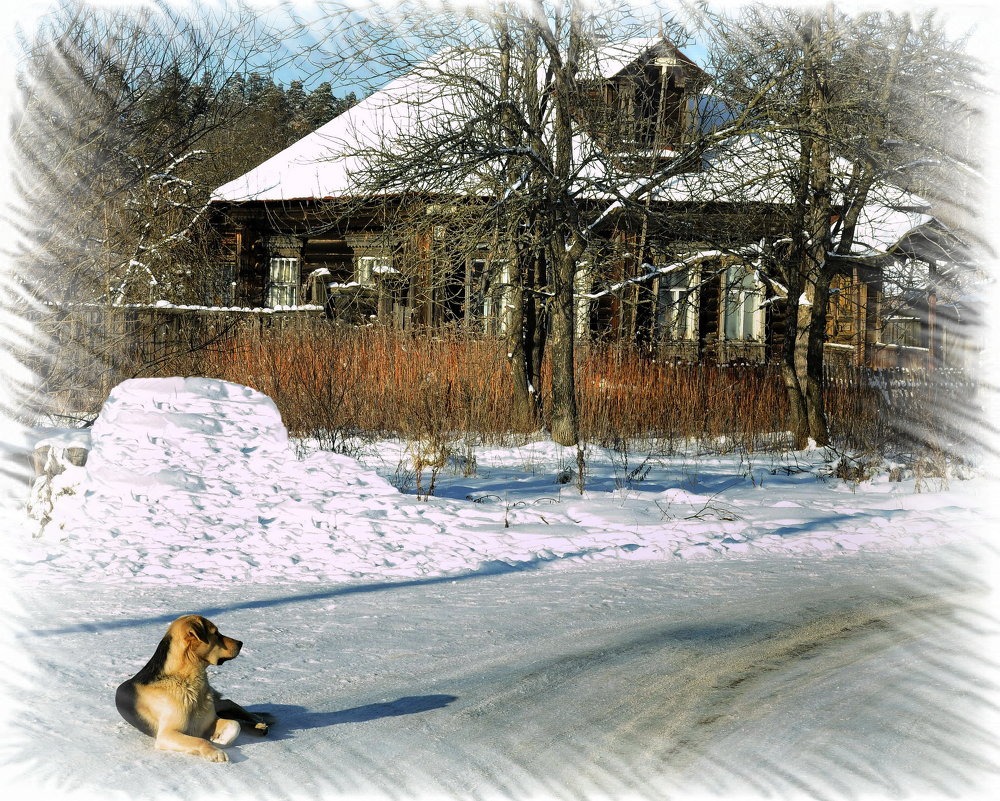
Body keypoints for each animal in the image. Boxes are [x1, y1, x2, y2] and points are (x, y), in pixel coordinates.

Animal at [115, 612, 274, 764]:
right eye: (216, 633)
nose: (241, 643)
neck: (186, 681)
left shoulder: (210, 720)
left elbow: (234, 725)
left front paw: (220, 739)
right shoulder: (166, 734)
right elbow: (201, 740)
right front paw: (215, 750)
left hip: (214, 702)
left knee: (229, 703)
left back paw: (257, 721)